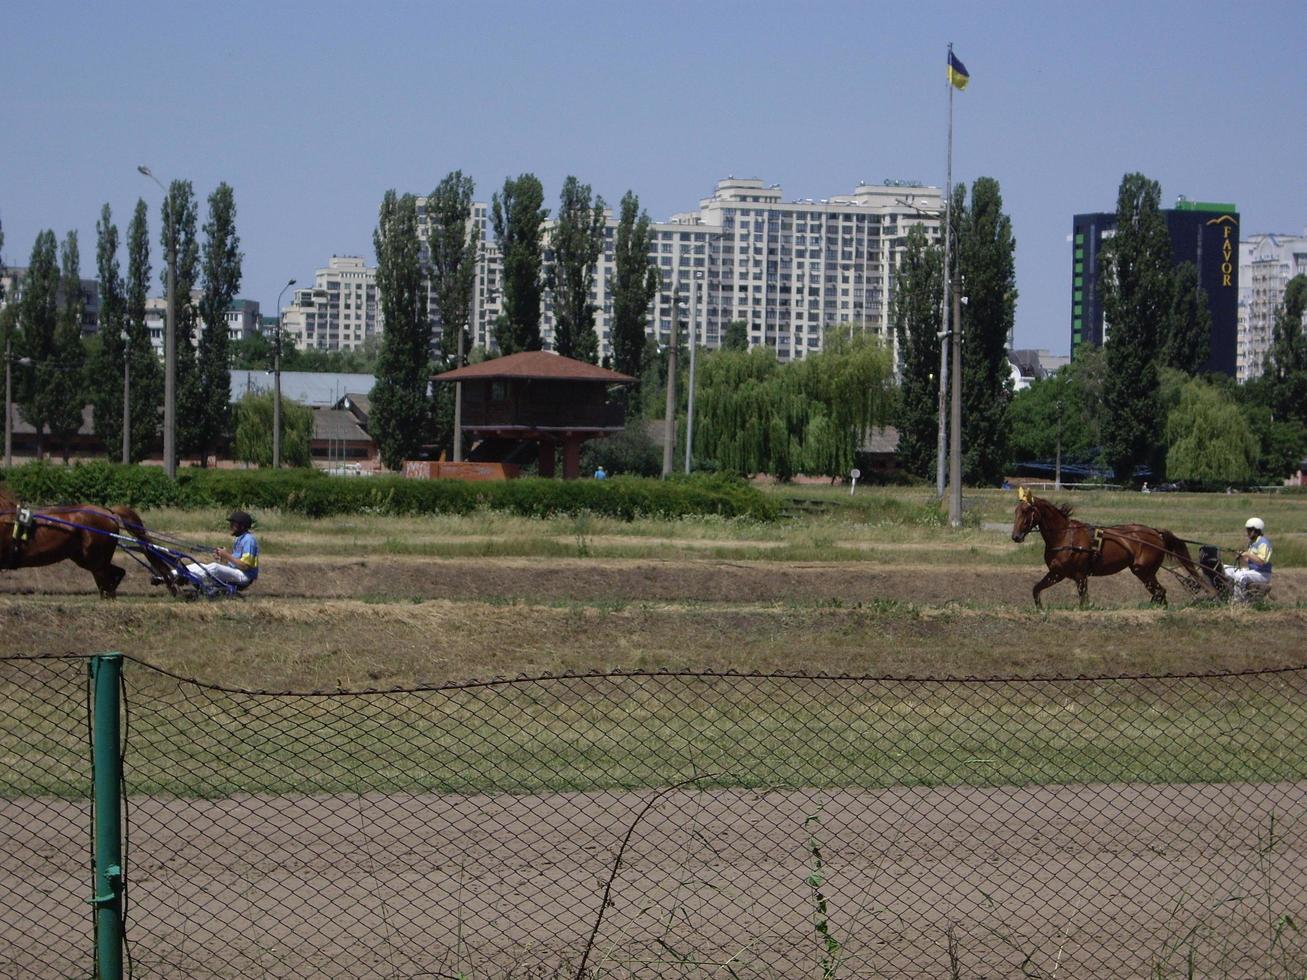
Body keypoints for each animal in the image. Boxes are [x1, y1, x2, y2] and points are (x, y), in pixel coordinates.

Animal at [1009, 488, 1202, 611]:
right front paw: (1040, 609)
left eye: (1026, 511)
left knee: (1160, 592)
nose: (1016, 536)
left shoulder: (1080, 575)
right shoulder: (1057, 573)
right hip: (1144, 572)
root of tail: (1156, 533)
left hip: (1143, 571)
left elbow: (1084, 601)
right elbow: (1036, 589)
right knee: (1159, 593)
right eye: (1016, 511)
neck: (1065, 536)